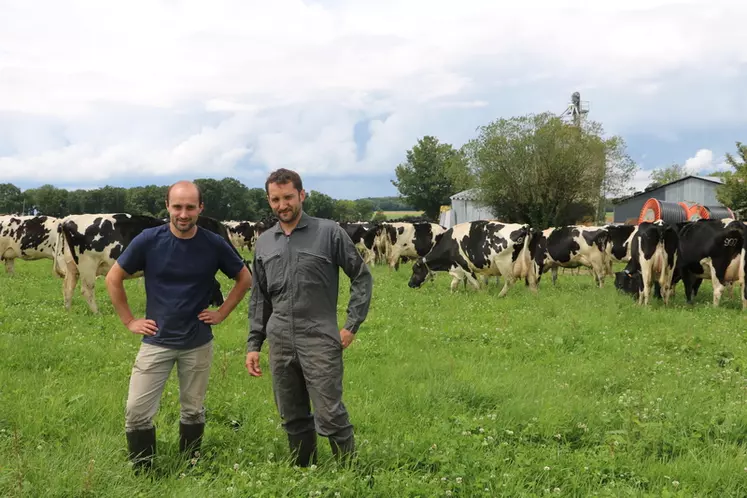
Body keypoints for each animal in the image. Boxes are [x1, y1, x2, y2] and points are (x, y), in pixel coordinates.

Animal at [54, 212, 245, 314]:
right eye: (218, 288)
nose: (220, 303)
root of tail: (68, 220)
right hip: (88, 265)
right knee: (86, 290)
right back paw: (97, 313)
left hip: (72, 267)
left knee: (67, 288)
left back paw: (68, 311)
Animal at [406, 221, 536, 298]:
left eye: (415, 271)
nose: (410, 284)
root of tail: (523, 227)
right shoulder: (457, 268)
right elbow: (454, 284)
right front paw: (452, 295)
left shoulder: (464, 265)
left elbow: (475, 283)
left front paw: (481, 295)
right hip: (530, 264)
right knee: (532, 280)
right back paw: (533, 295)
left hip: (503, 263)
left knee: (510, 280)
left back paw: (500, 295)